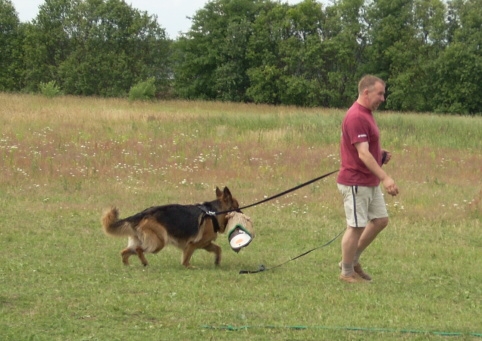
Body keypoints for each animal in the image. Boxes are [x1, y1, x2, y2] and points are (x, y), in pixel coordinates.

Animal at [101, 187, 239, 266]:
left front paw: (217, 262)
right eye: (237, 206)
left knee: (125, 252)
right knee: (139, 249)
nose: (242, 212)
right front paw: (188, 266)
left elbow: (218, 249)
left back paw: (127, 265)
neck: (214, 213)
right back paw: (144, 263)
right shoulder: (193, 245)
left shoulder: (206, 244)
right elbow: (186, 259)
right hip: (158, 243)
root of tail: (142, 214)